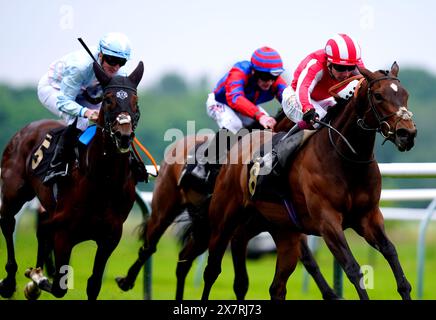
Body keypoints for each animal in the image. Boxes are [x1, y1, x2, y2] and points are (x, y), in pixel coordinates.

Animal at [0, 62, 146, 300]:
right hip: (14, 192)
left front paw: (35, 279)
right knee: (8, 222)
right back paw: (9, 281)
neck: (104, 181)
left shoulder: (110, 236)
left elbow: (94, 284)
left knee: (41, 229)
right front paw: (35, 279)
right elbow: (60, 287)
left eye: (136, 101)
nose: (124, 136)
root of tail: (27, 129)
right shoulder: (64, 234)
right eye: (108, 100)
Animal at [115, 110, 338, 300]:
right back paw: (126, 280)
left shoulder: (282, 223)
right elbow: (240, 279)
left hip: (204, 228)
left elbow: (309, 260)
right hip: (167, 207)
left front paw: (331, 294)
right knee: (149, 246)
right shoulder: (239, 229)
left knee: (183, 260)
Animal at [199, 62, 418, 300]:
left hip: (281, 231)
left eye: (405, 94)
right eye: (378, 96)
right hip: (224, 219)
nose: (407, 133)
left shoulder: (369, 216)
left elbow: (392, 254)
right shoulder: (327, 221)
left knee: (275, 286)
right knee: (212, 270)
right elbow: (353, 268)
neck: (347, 160)